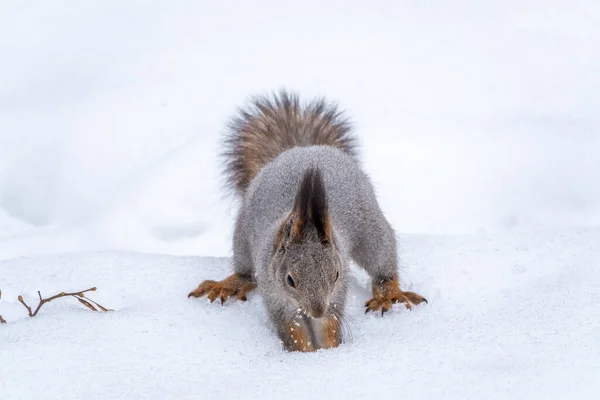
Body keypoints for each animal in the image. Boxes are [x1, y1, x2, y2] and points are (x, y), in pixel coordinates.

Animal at [188, 90, 426, 350]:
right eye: (290, 280)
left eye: (336, 275)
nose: (317, 310)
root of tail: (303, 148)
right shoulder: (275, 296)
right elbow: (292, 329)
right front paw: (304, 352)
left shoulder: (336, 293)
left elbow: (329, 325)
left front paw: (329, 349)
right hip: (242, 235)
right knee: (245, 272)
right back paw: (230, 284)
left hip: (371, 227)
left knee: (383, 265)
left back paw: (389, 295)